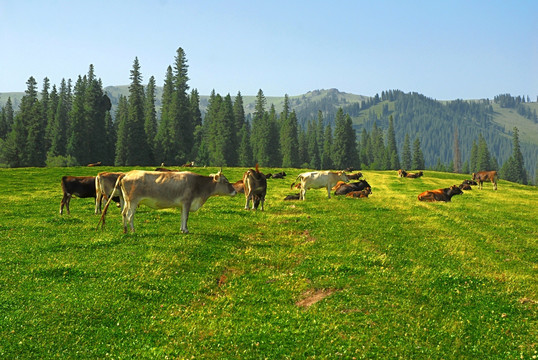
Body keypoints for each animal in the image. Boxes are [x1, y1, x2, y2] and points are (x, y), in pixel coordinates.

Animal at [99, 170, 237, 235]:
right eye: (225, 181)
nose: (235, 191)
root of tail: (127, 173)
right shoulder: (187, 201)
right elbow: (186, 217)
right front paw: (186, 230)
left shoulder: (182, 205)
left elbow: (182, 217)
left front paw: (182, 229)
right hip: (132, 201)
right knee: (129, 215)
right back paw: (133, 230)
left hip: (126, 200)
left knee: (123, 213)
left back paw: (125, 230)